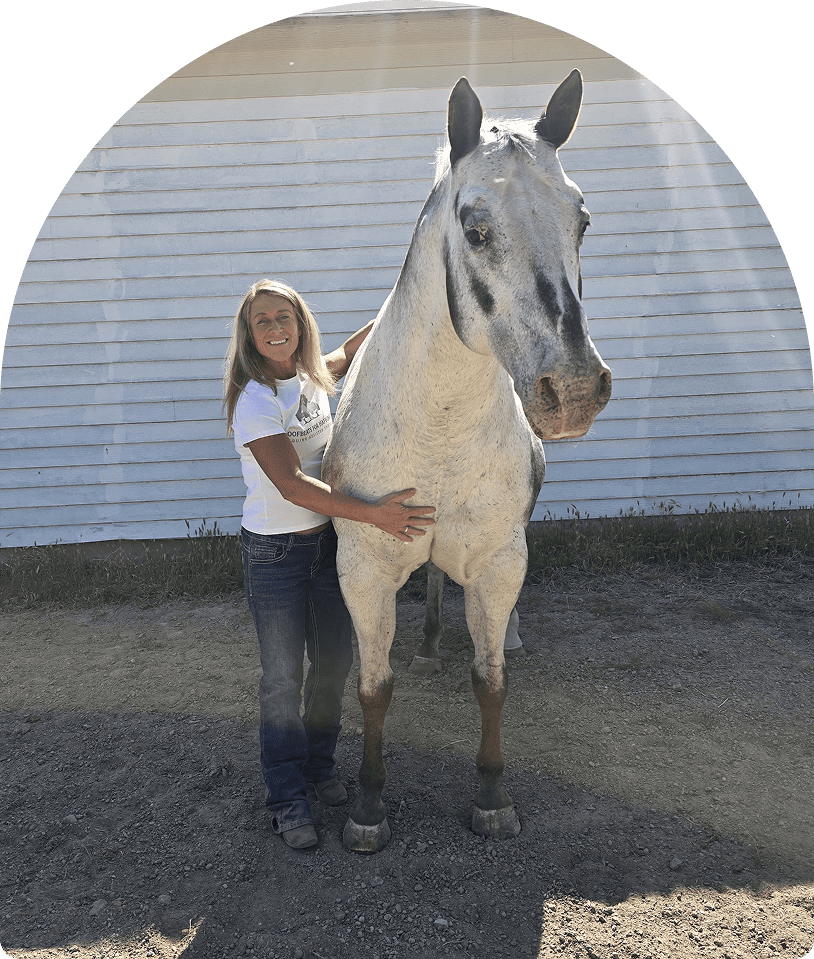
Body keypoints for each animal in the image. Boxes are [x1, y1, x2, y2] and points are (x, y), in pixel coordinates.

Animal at [322, 69, 612, 853]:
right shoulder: (366, 566)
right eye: (476, 229)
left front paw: (491, 794)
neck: (438, 427)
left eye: (581, 221)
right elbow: (373, 685)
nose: (573, 390)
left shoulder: (497, 559)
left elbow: (491, 682)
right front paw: (367, 802)